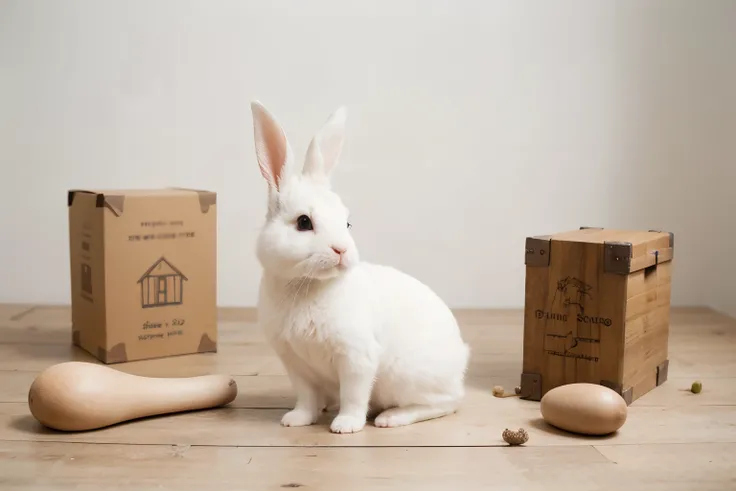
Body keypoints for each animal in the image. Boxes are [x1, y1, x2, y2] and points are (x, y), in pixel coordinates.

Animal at [250, 101, 468, 434]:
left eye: (347, 222)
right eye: (303, 222)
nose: (341, 250)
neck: (309, 285)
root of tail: (460, 363)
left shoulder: (356, 357)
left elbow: (353, 394)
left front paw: (346, 426)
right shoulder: (296, 365)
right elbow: (305, 397)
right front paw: (296, 420)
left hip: (407, 378)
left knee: (446, 404)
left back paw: (390, 419)